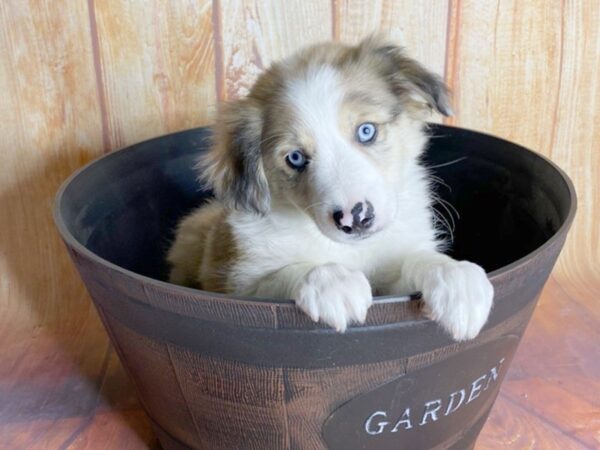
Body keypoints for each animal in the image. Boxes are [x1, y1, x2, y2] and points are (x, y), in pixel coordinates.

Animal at [168, 37, 492, 340]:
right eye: (295, 158)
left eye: (366, 130)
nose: (355, 218)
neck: (350, 250)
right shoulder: (240, 286)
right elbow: (288, 273)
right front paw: (333, 282)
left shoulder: (391, 279)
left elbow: (417, 259)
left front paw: (456, 280)